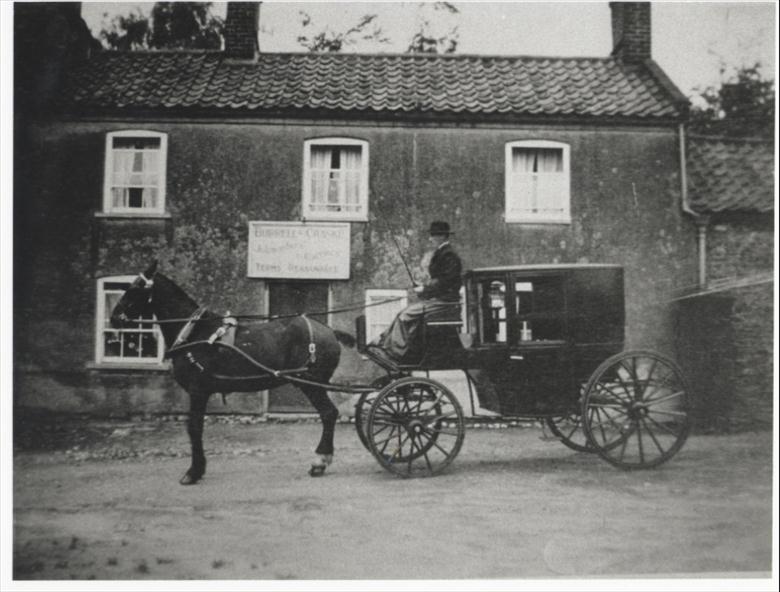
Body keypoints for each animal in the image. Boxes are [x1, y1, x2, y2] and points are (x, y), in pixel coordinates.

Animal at [108, 262, 354, 484]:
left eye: (136, 288)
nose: (114, 318)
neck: (193, 332)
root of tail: (330, 331)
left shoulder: (198, 391)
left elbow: (194, 428)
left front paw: (194, 471)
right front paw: (198, 469)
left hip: (310, 384)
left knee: (329, 413)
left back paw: (319, 461)